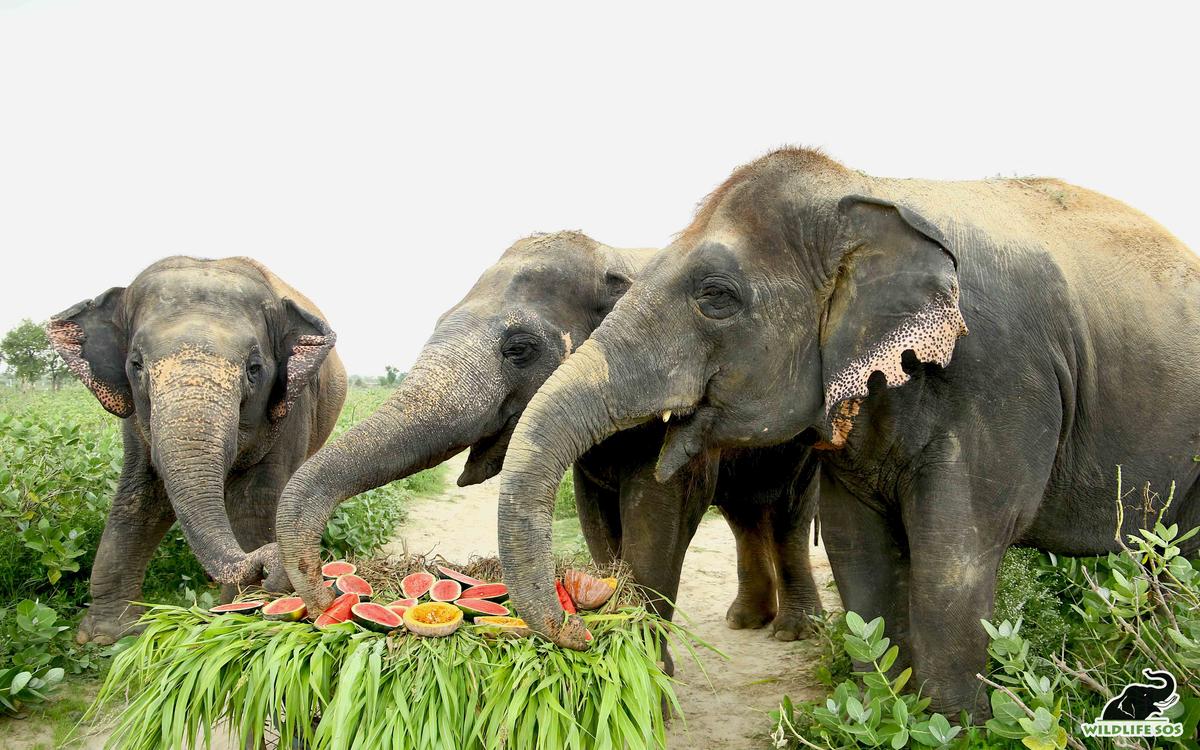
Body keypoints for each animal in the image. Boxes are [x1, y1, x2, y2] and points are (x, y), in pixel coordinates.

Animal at [49, 256, 345, 643]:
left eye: (254, 369)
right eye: (135, 365)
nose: (271, 564)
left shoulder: (293, 405)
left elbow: (256, 499)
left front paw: (241, 616)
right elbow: (141, 493)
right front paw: (106, 637)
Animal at [273, 231, 820, 672]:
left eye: (519, 348)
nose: (323, 598)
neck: (609, 254)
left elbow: (656, 521)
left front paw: (654, 680)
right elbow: (595, 520)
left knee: (788, 513)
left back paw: (793, 631)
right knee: (744, 513)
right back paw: (746, 620)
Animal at [494, 146, 1200, 715]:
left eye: (716, 295)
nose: (583, 627)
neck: (862, 190)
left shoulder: (1001, 379)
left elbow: (955, 558)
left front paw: (953, 727)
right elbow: (855, 548)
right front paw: (884, 709)